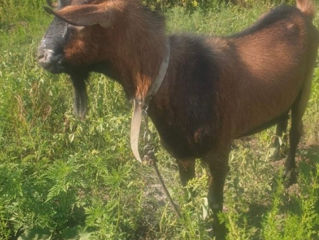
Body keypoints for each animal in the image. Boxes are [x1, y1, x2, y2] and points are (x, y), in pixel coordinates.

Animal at [38, 0, 318, 239]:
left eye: (74, 24)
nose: (41, 55)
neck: (174, 78)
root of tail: (302, 13)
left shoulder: (218, 151)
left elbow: (215, 202)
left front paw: (217, 232)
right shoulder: (182, 153)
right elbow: (187, 194)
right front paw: (191, 225)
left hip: (305, 85)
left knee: (296, 128)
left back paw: (288, 173)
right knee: (282, 116)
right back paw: (274, 152)